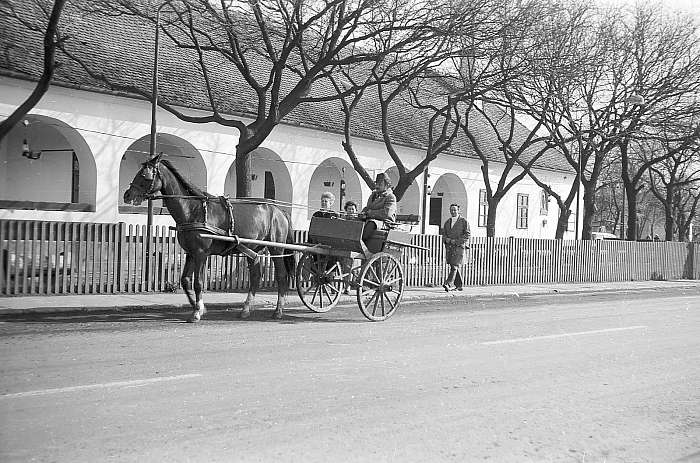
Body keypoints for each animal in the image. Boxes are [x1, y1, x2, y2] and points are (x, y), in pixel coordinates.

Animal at [123, 153, 292, 322]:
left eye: (144, 175)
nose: (127, 195)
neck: (193, 210)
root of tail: (279, 211)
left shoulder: (201, 254)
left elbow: (198, 282)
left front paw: (197, 312)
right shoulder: (191, 253)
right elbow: (185, 280)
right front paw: (199, 307)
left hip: (276, 249)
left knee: (281, 276)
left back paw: (278, 311)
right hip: (253, 249)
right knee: (256, 276)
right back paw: (246, 309)